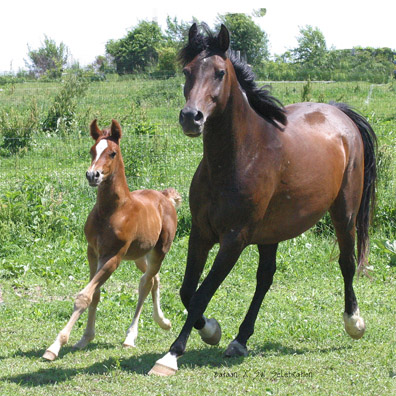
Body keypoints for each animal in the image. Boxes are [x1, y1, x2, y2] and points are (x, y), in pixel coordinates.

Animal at [42, 119, 181, 360]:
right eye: (92, 150)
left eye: (112, 153)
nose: (92, 175)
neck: (113, 211)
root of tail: (164, 197)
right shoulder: (93, 252)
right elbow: (94, 294)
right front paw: (85, 338)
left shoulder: (112, 257)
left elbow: (84, 296)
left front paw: (55, 346)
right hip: (139, 255)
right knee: (154, 279)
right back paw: (163, 321)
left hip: (159, 250)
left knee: (145, 283)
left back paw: (131, 336)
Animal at [149, 23, 378, 376]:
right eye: (187, 71)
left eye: (219, 73)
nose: (191, 117)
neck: (237, 159)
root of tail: (340, 114)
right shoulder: (201, 234)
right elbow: (188, 291)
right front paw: (211, 331)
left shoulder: (234, 239)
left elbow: (202, 293)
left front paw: (171, 355)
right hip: (272, 232)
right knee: (265, 278)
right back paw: (240, 340)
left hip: (345, 214)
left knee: (347, 262)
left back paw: (354, 322)